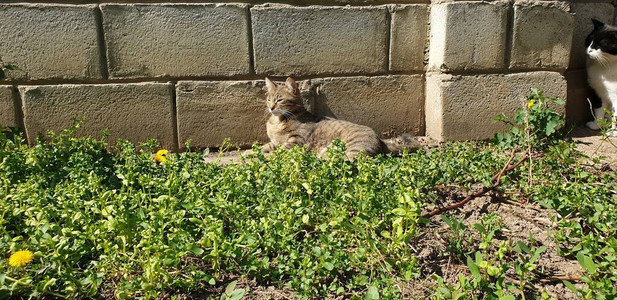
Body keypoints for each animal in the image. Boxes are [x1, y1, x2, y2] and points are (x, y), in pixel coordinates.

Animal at [260, 77, 418, 159]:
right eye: (269, 99)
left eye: (279, 100)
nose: (271, 107)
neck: (277, 121)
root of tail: (380, 140)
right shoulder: (275, 142)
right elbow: (264, 147)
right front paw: (257, 152)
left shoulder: (295, 142)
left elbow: (276, 153)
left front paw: (266, 157)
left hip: (352, 149)